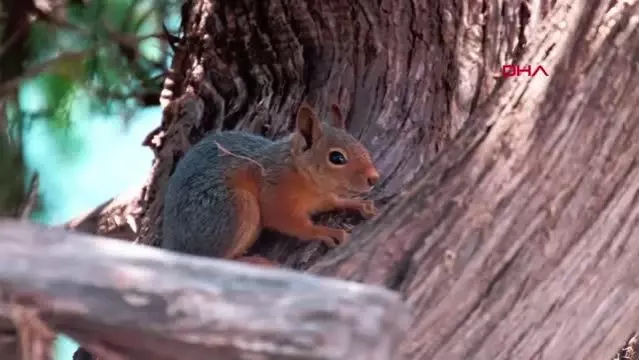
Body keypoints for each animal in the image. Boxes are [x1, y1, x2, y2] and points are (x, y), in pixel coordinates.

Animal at [161, 100, 380, 266]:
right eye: (336, 157)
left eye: (360, 144)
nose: (374, 178)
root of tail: (175, 248)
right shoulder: (276, 197)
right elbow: (293, 224)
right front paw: (325, 231)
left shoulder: (321, 197)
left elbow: (334, 201)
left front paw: (357, 203)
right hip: (235, 207)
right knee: (217, 259)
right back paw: (255, 262)